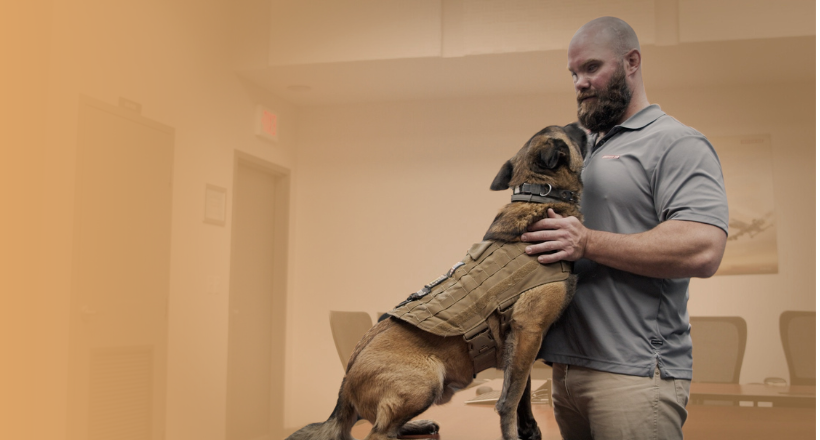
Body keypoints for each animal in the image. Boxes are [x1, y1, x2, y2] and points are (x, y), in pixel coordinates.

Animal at [286, 123, 588, 440]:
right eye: (567, 131)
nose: (580, 124)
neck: (539, 197)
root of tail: (345, 382)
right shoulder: (529, 330)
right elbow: (509, 399)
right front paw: (513, 434)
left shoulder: (519, 342)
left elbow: (523, 393)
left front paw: (529, 429)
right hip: (425, 381)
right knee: (377, 433)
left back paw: (416, 426)